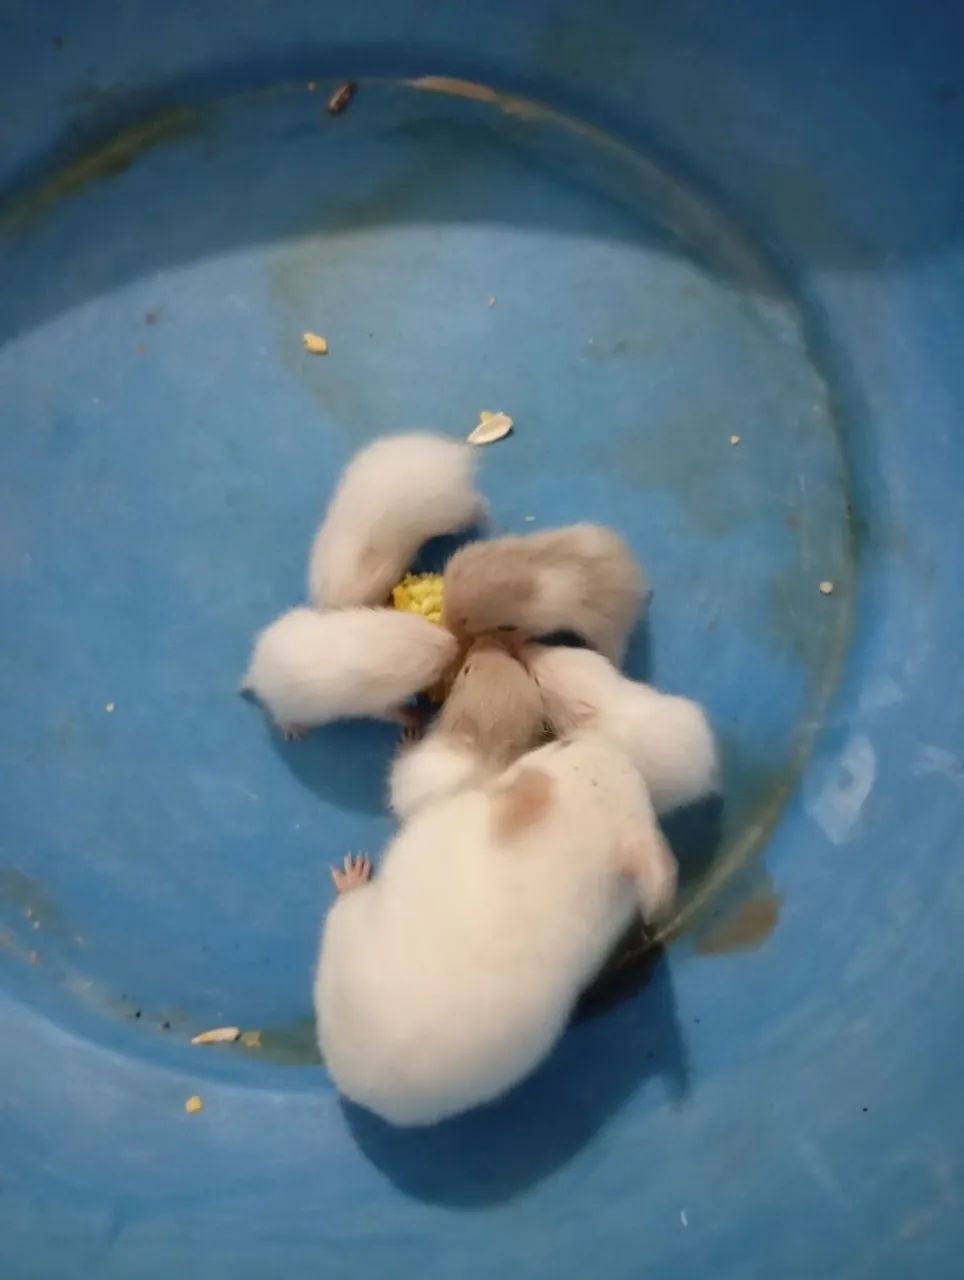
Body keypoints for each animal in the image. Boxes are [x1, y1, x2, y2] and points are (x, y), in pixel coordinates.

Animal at [241, 606, 457, 736]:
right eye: (433, 669)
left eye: (424, 622)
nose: (454, 641)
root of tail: (256, 672)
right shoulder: (376, 704)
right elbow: (393, 713)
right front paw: (414, 717)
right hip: (285, 708)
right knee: (279, 717)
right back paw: (292, 729)